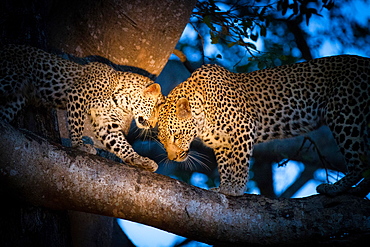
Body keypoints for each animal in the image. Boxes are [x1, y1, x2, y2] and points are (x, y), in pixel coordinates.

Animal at [0, 44, 163, 172]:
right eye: (155, 109)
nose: (153, 125)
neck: (121, 99)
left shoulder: (105, 122)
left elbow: (121, 144)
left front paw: (140, 160)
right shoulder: (78, 95)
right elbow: (76, 123)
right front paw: (79, 145)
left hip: (16, 99)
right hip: (8, 79)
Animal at [158, 56, 370, 197]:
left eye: (176, 136)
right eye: (162, 141)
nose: (172, 157)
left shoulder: (244, 127)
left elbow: (239, 163)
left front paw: (236, 189)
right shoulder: (222, 143)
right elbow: (225, 166)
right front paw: (224, 187)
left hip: (345, 114)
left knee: (359, 161)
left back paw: (335, 188)